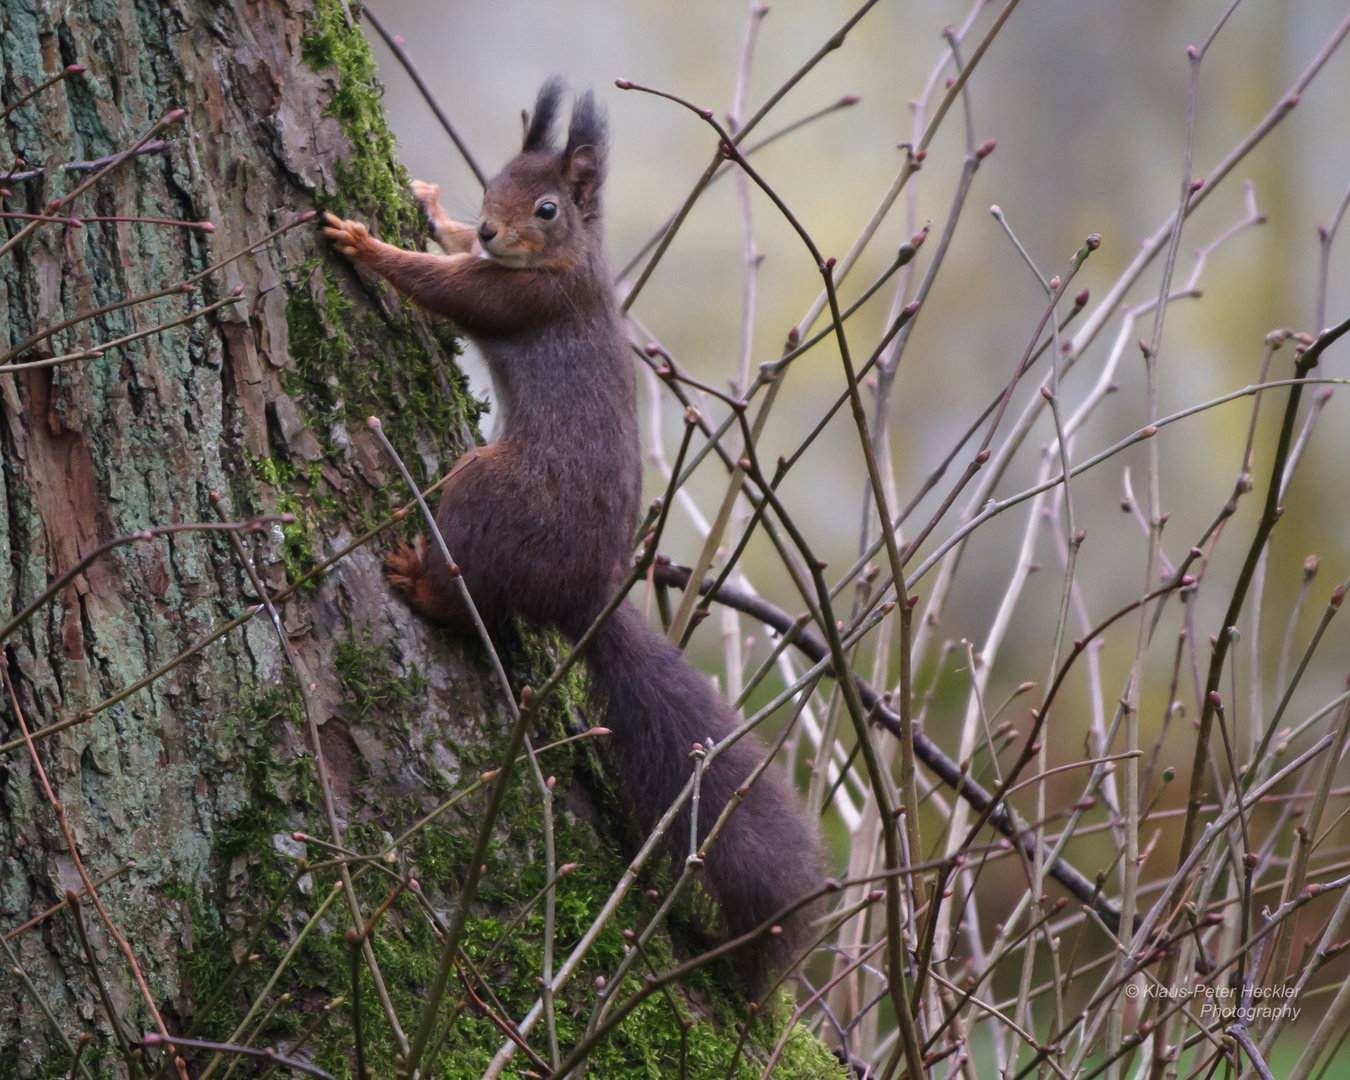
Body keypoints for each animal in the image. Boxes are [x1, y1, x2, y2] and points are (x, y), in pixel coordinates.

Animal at [321, 77, 815, 988]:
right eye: (493, 184)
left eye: (547, 207)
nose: (488, 228)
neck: (570, 259)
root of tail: (586, 591)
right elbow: (452, 256)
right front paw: (431, 206)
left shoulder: (522, 298)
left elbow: (447, 288)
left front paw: (367, 243)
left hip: (486, 490)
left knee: (468, 598)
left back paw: (420, 580)